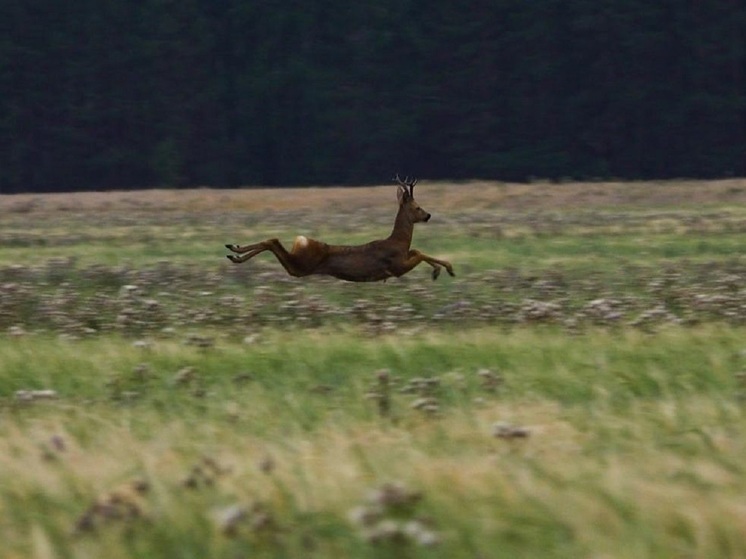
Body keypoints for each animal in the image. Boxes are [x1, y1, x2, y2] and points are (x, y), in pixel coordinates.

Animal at [224, 176, 454, 282]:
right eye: (417, 207)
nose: (428, 215)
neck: (398, 242)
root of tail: (301, 241)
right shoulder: (396, 267)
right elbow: (420, 252)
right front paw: (444, 269)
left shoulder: (402, 258)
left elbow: (417, 250)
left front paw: (442, 269)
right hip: (302, 265)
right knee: (273, 242)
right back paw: (235, 252)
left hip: (300, 266)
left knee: (273, 242)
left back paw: (234, 252)